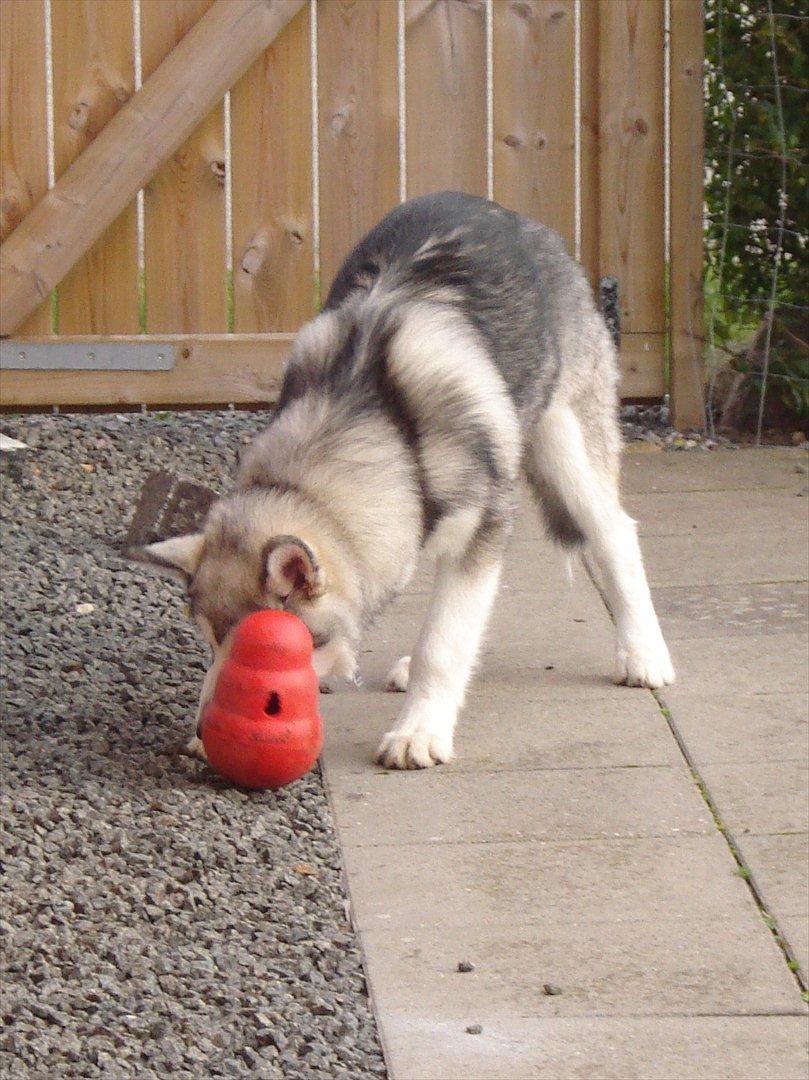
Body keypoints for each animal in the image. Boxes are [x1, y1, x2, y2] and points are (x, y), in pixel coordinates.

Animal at [141, 192, 673, 768]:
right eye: (209, 644)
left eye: (256, 653)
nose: (203, 733)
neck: (370, 414)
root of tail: (521, 219)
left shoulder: (481, 531)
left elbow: (443, 642)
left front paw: (419, 731)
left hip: (567, 450)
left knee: (615, 532)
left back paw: (643, 653)